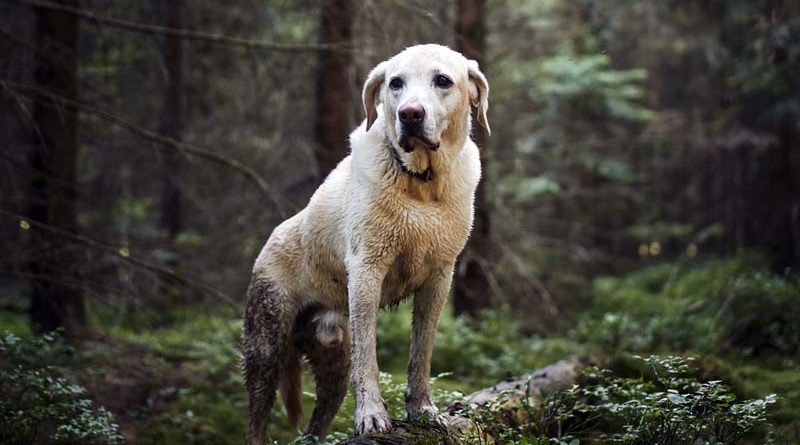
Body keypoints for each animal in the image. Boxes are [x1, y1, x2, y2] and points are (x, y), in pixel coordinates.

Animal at [242, 43, 488, 442]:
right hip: (265, 349)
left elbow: (421, 353)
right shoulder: (367, 271)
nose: (410, 114)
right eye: (395, 83)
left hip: (332, 368)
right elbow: (368, 356)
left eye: (443, 81)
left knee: (317, 422)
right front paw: (372, 416)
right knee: (256, 422)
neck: (421, 184)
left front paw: (422, 410)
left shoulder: (440, 278)